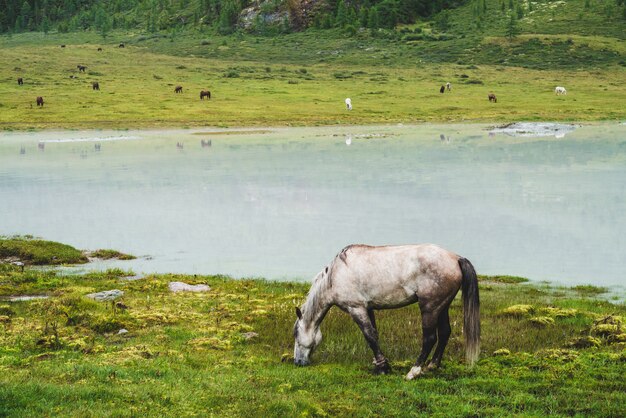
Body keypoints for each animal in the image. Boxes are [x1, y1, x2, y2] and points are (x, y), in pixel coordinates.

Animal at [292, 243, 478, 380]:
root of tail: (456, 258)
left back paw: (413, 372)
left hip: (429, 308)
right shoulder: (368, 308)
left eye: (296, 334)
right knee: (445, 332)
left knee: (430, 338)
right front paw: (378, 365)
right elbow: (374, 334)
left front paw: (383, 367)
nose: (298, 362)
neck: (336, 276)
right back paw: (432, 366)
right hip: (442, 307)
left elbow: (369, 336)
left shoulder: (356, 308)